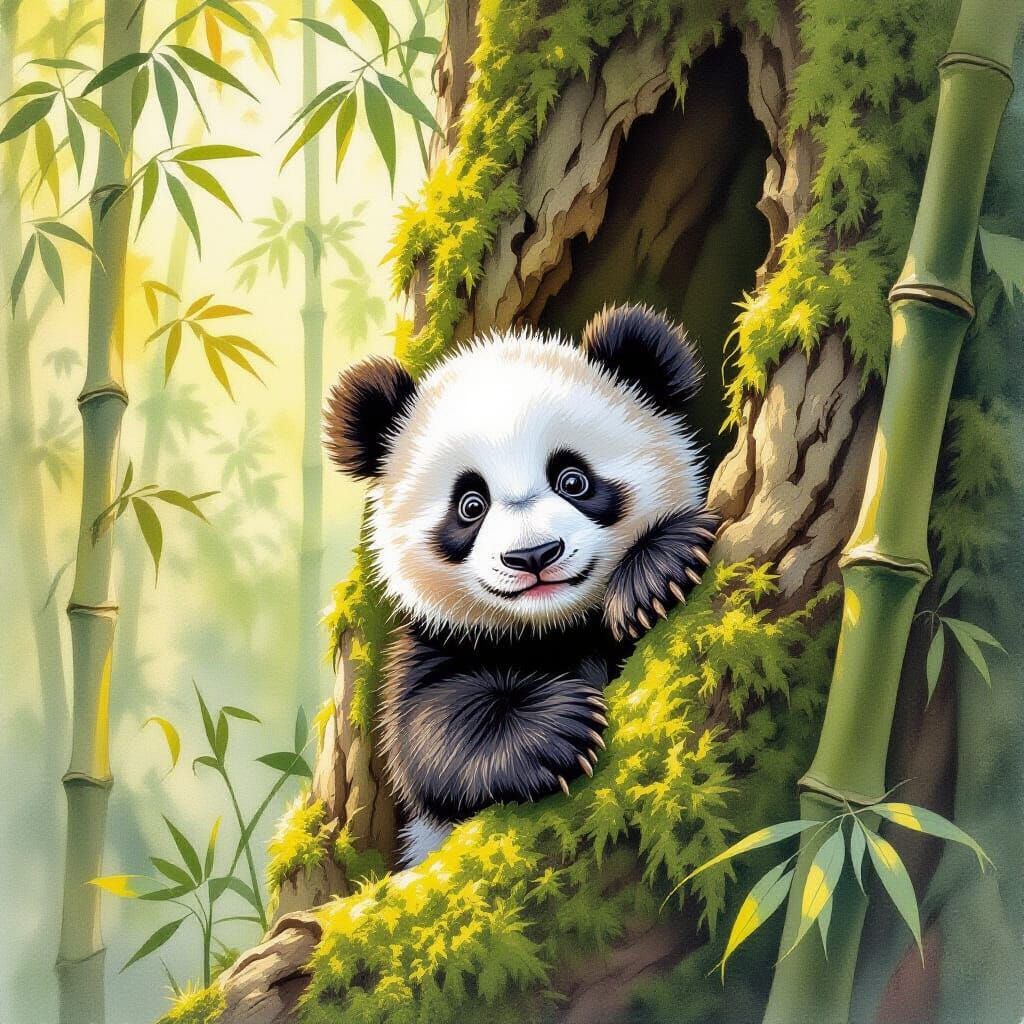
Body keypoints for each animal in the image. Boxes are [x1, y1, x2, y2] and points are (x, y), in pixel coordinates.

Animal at [323, 304, 717, 865]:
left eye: (573, 479)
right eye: (470, 505)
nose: (533, 556)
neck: (553, 625)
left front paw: (658, 570)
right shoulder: (441, 640)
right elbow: (428, 732)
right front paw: (554, 733)